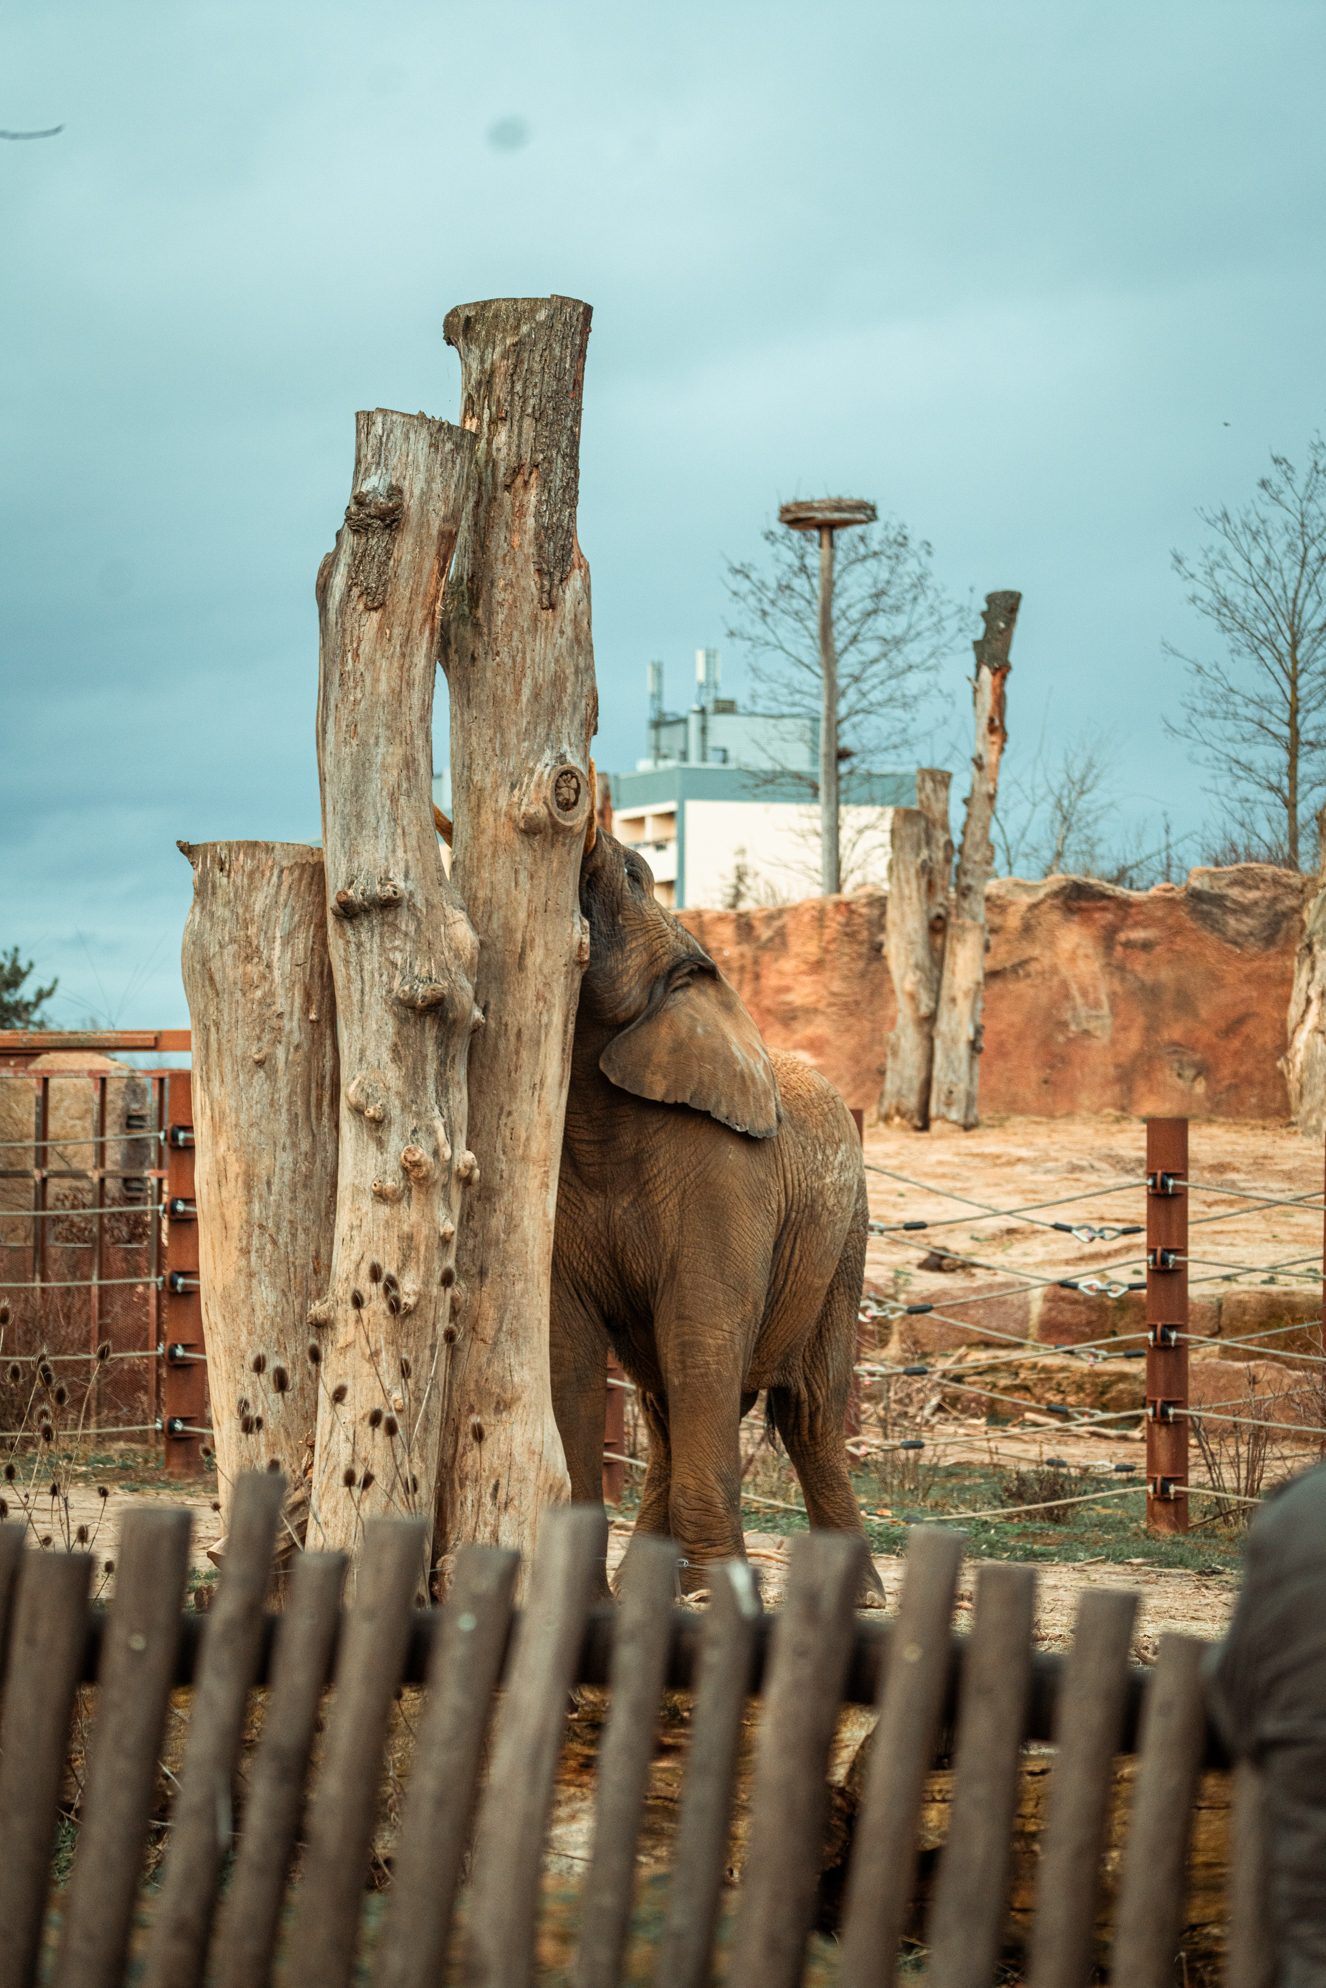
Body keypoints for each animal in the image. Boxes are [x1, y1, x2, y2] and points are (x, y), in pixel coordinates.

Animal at [550, 818, 883, 1603]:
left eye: (635, 876)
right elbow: (568, 1349)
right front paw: (594, 1600)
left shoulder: (729, 1178)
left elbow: (700, 1336)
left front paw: (715, 1600)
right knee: (667, 1407)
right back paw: (645, 1586)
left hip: (845, 1239)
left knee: (808, 1411)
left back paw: (863, 1598)